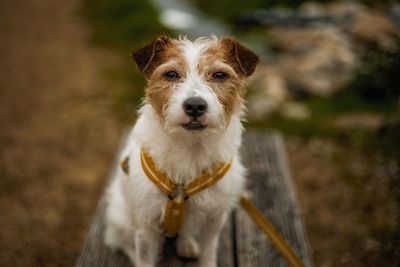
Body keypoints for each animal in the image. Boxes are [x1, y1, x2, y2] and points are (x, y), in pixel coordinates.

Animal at [103, 36, 260, 267]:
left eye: (220, 75)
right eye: (171, 74)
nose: (195, 106)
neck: (190, 149)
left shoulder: (215, 218)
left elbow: (209, 252)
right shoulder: (146, 224)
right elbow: (144, 258)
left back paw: (186, 244)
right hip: (120, 217)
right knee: (121, 240)